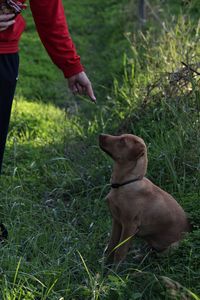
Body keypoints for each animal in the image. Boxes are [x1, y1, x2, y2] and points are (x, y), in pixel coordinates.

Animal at [99, 132, 190, 264]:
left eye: (122, 141)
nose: (100, 135)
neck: (123, 184)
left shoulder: (129, 225)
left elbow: (120, 251)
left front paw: (115, 268)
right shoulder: (116, 221)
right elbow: (112, 246)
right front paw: (105, 265)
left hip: (173, 246)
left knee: (158, 256)